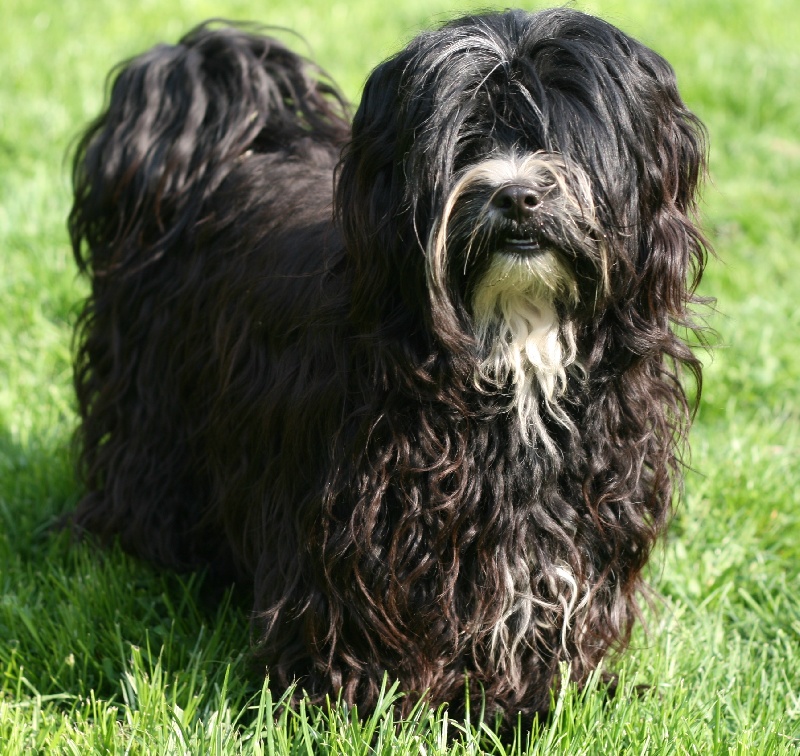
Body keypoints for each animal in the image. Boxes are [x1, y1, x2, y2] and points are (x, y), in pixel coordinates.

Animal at [67, 7, 708, 728]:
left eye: (566, 133)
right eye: (466, 138)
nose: (517, 196)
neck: (514, 344)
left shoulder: (587, 501)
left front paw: (540, 696)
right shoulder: (364, 515)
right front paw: (366, 705)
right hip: (157, 402)